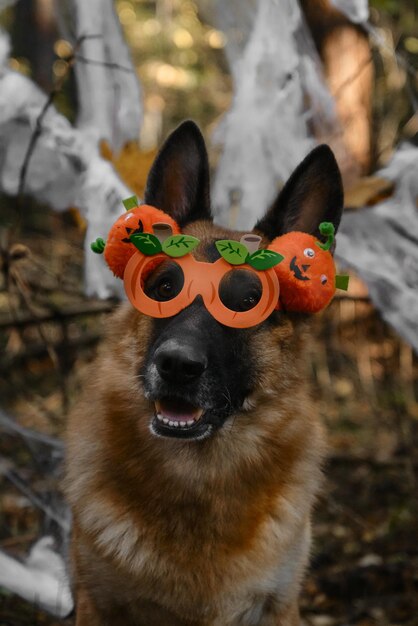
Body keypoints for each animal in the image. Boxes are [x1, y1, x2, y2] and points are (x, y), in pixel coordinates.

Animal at [66, 119, 342, 620]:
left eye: (249, 301)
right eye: (163, 287)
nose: (176, 365)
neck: (198, 478)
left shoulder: (279, 607)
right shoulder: (97, 606)